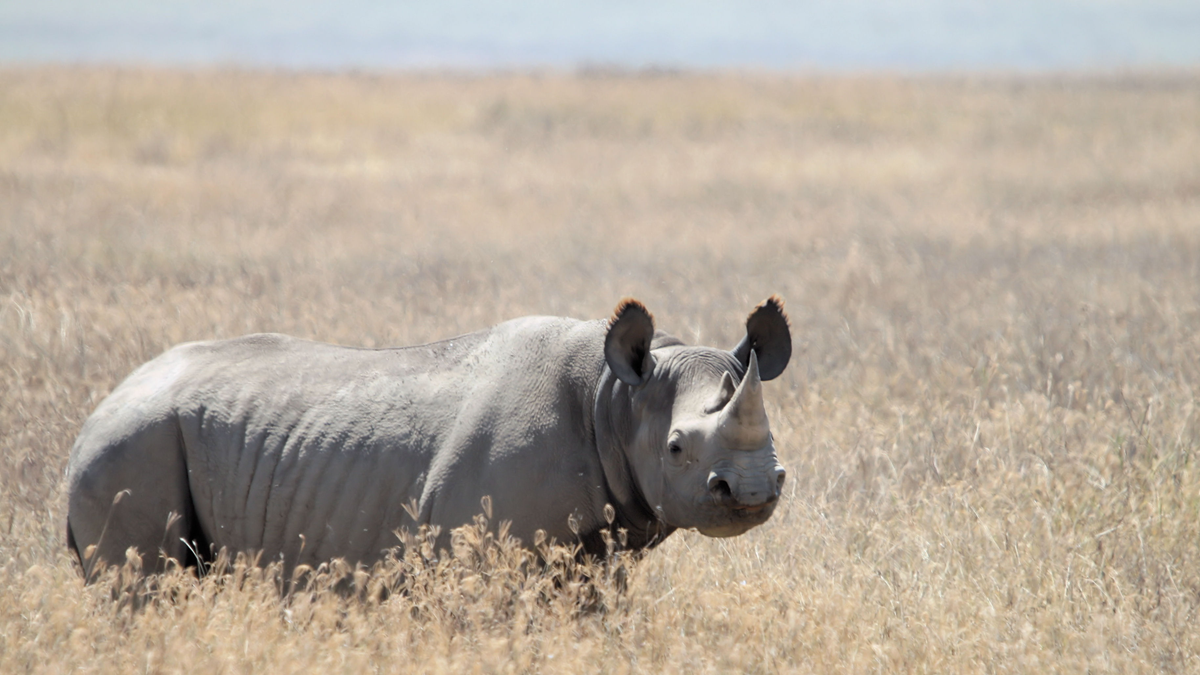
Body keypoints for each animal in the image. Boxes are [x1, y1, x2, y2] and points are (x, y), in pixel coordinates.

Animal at [67, 296, 792, 579]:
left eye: (779, 451)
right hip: (131, 443)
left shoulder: (595, 556)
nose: (754, 490)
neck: (616, 401)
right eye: (675, 447)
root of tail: (96, 411)